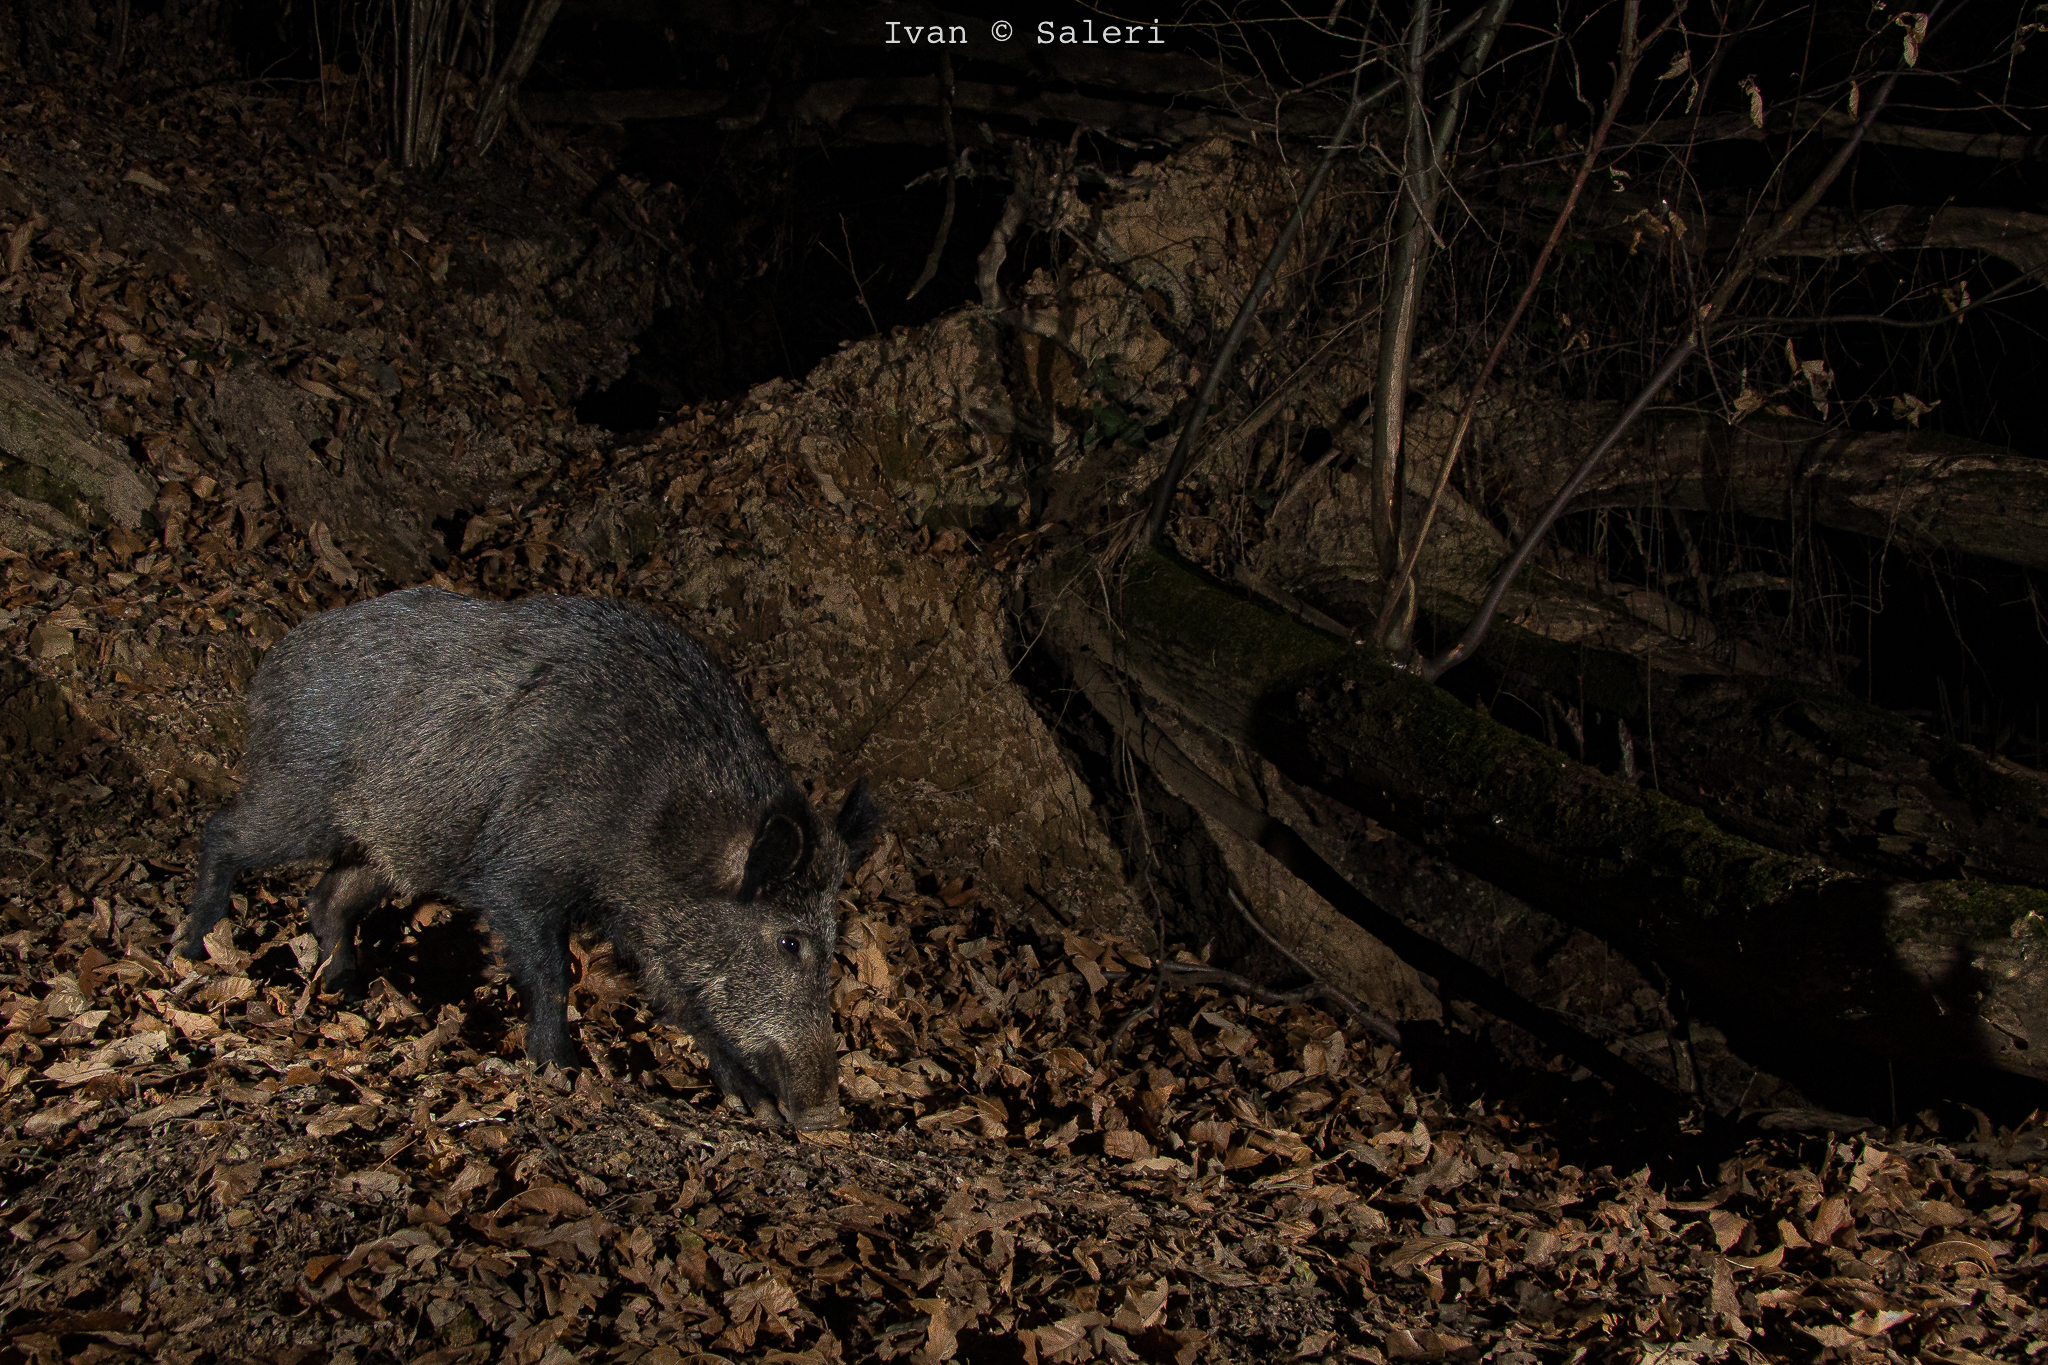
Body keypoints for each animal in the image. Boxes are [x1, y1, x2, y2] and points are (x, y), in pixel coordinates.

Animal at [175, 586, 879, 1130]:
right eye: (789, 941)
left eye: (833, 938)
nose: (826, 1117)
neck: (662, 825)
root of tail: (270, 667)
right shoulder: (520, 873)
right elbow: (551, 970)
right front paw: (558, 1071)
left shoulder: (645, 918)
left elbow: (682, 999)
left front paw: (754, 1107)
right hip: (300, 794)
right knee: (223, 834)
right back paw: (189, 947)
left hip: (395, 845)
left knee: (328, 897)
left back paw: (349, 990)